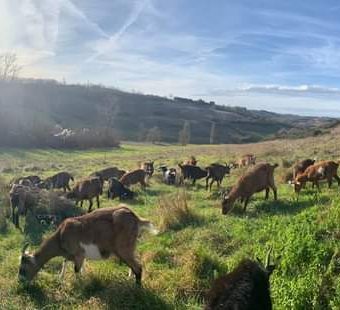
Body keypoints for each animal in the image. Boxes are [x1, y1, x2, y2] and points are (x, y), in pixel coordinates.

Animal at [18, 206, 159, 286]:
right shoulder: (74, 256)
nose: (20, 282)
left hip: (123, 249)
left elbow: (76, 270)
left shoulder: (78, 254)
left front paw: (80, 285)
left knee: (138, 267)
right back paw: (130, 278)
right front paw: (61, 278)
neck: (61, 235)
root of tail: (136, 218)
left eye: (23, 269)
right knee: (135, 262)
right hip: (131, 247)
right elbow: (66, 263)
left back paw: (136, 288)